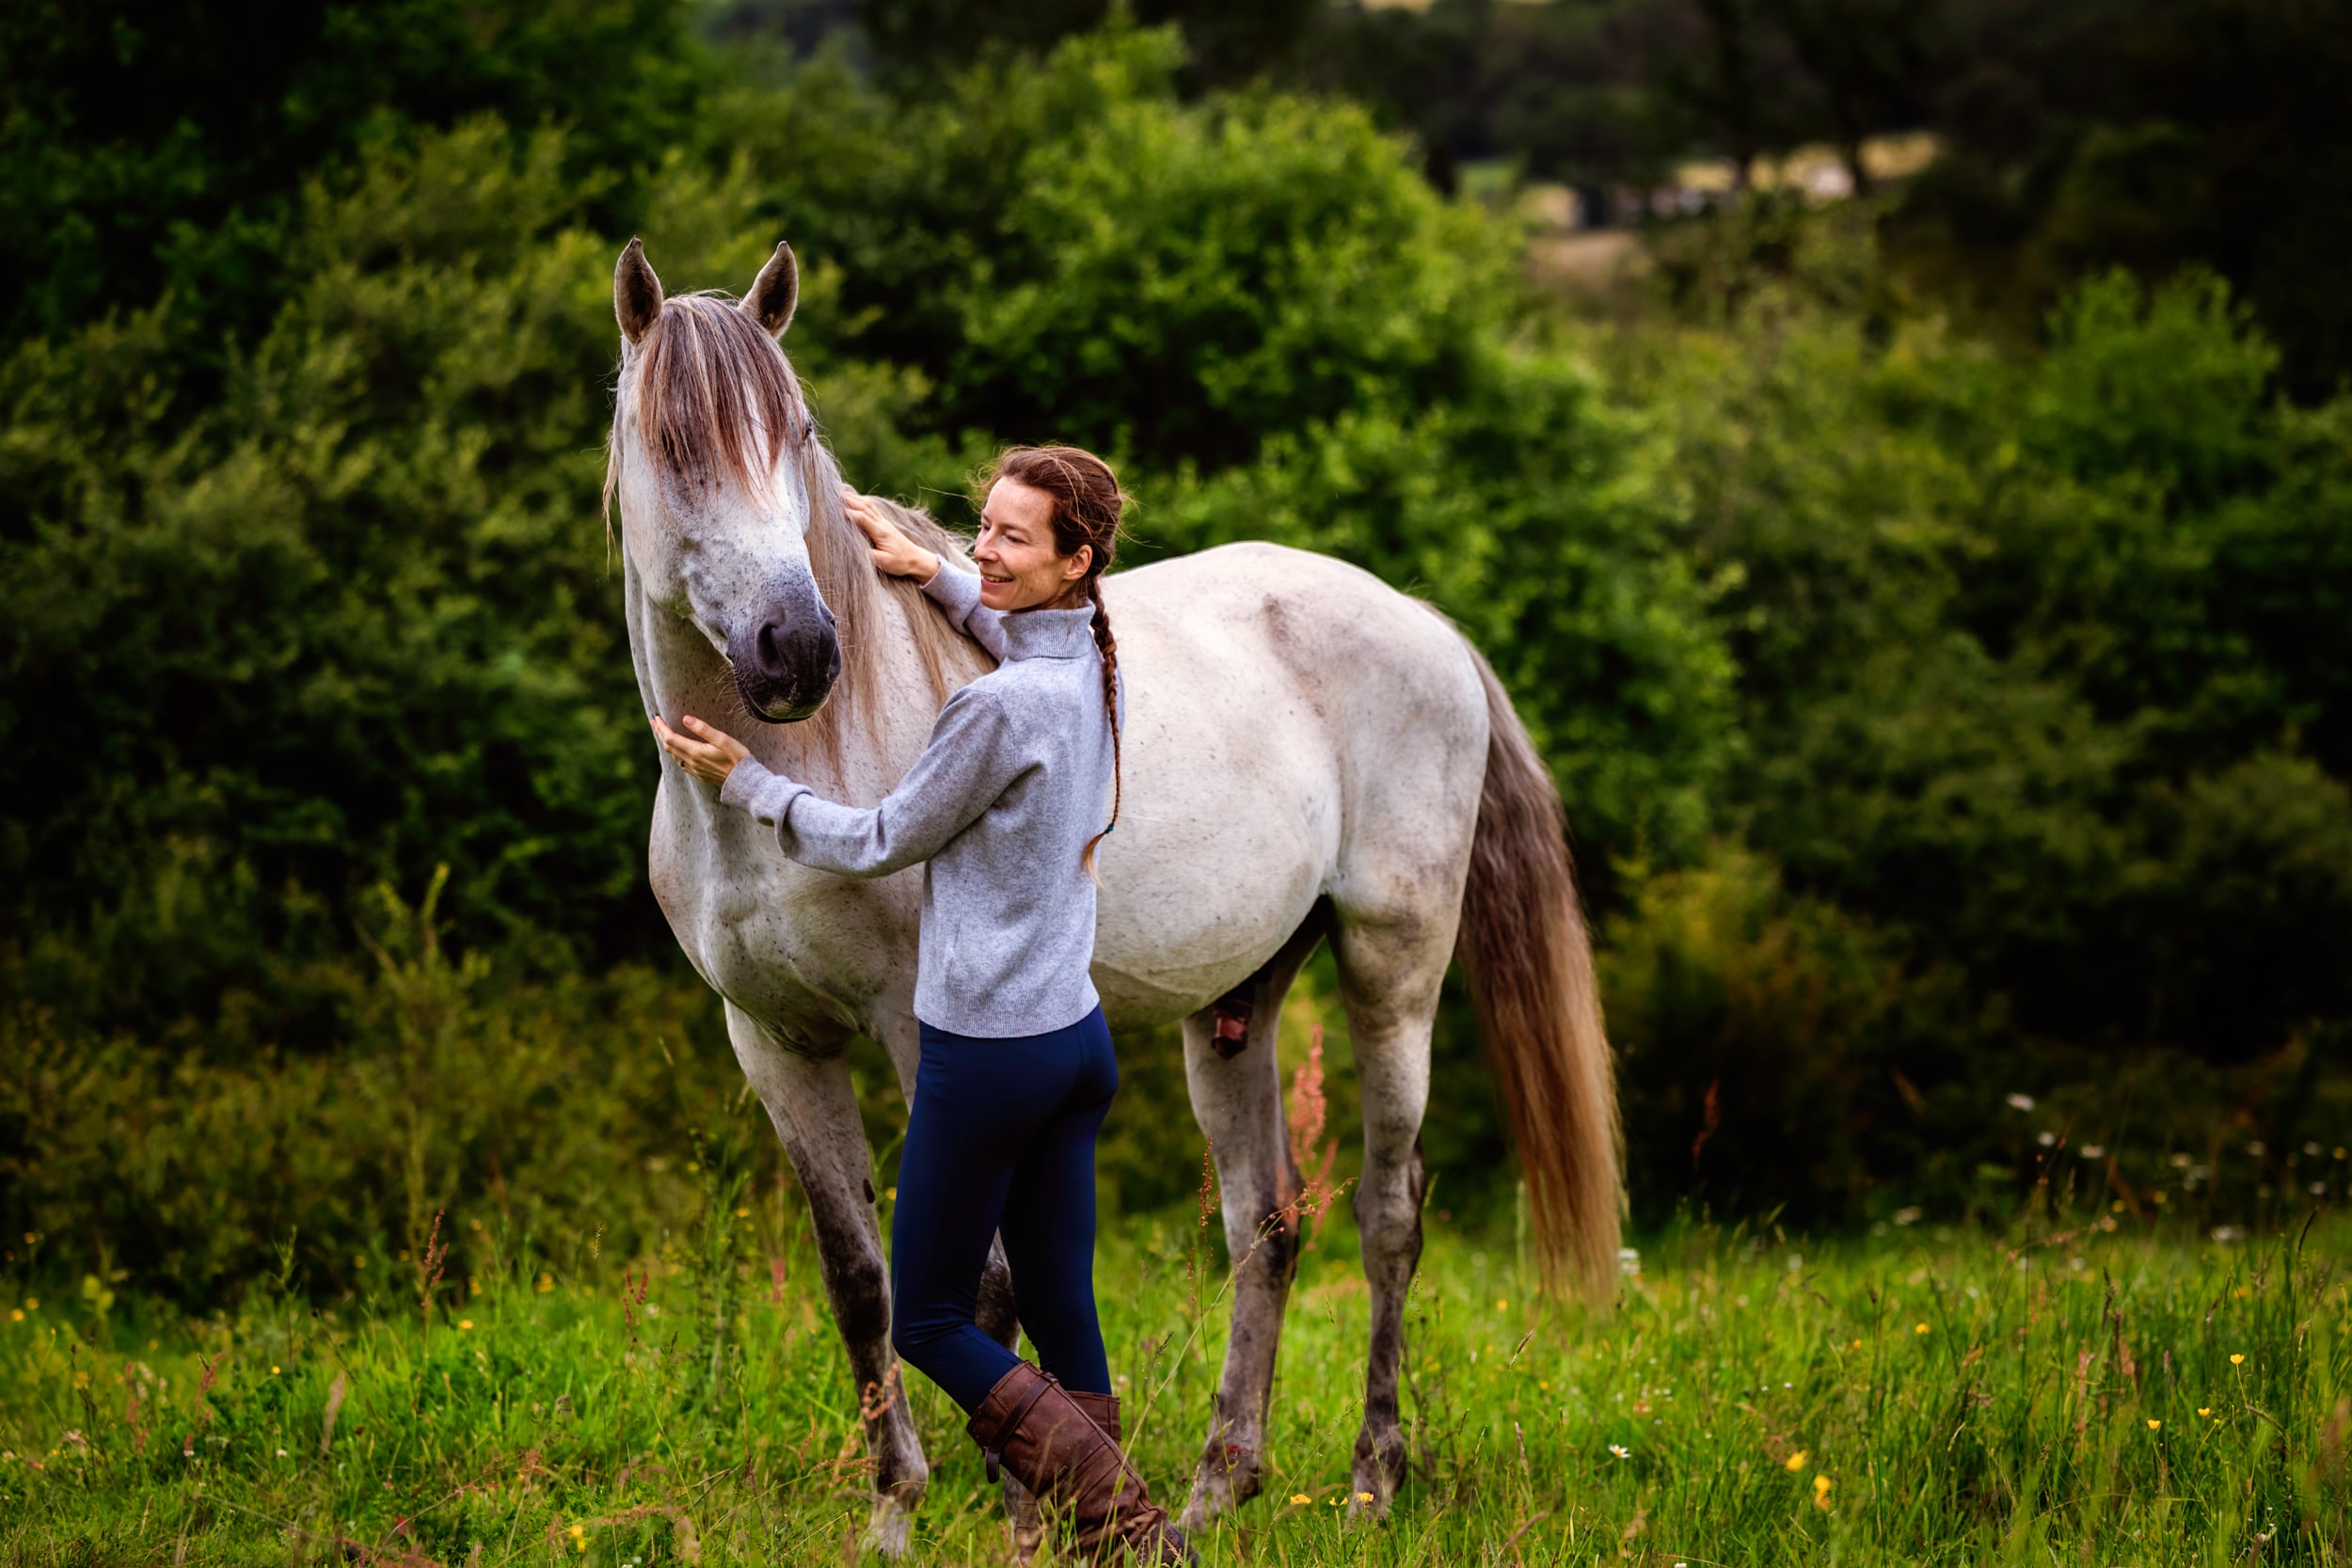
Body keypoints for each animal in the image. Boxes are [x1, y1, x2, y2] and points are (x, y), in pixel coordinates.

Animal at [604, 237, 1622, 1553]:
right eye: (673, 443)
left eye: (801, 431)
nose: (798, 650)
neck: (812, 755)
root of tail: (1423, 623)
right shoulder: (775, 1042)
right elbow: (861, 1280)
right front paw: (893, 1515)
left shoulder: (924, 1035)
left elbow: (980, 1284)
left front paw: (1017, 1524)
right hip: (1238, 1003)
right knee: (1265, 1223)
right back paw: (1217, 1485)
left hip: (1393, 971)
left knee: (1388, 1214)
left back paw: (1370, 1482)